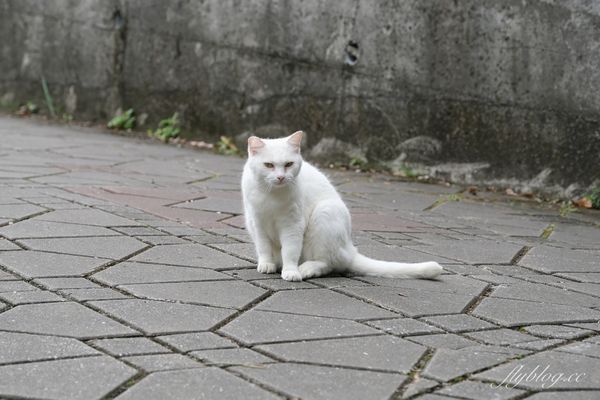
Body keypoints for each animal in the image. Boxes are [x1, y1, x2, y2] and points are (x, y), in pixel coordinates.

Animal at [241, 131, 442, 282]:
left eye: (289, 164)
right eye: (268, 165)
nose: (281, 177)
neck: (271, 195)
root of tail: (350, 249)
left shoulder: (292, 225)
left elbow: (290, 250)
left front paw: (291, 272)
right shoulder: (258, 223)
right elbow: (263, 248)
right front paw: (266, 264)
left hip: (325, 213)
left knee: (328, 264)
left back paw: (305, 269)